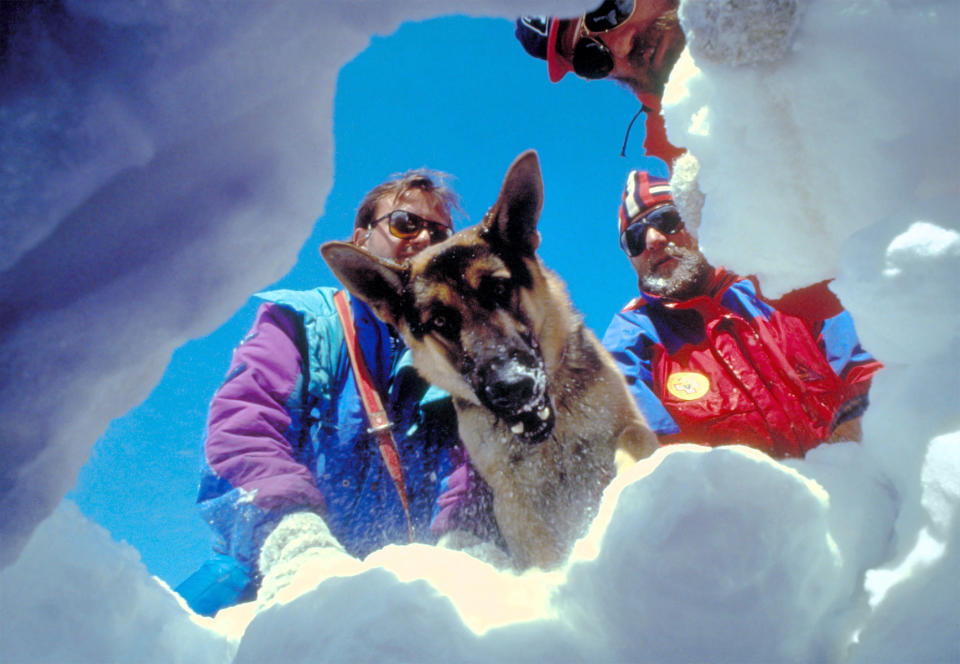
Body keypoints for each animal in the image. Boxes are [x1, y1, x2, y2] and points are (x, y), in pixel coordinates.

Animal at [322, 152, 660, 572]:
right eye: (440, 322)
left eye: (499, 288)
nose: (512, 387)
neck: (552, 440)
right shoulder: (511, 499)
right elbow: (540, 551)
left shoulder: (632, 427)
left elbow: (630, 448)